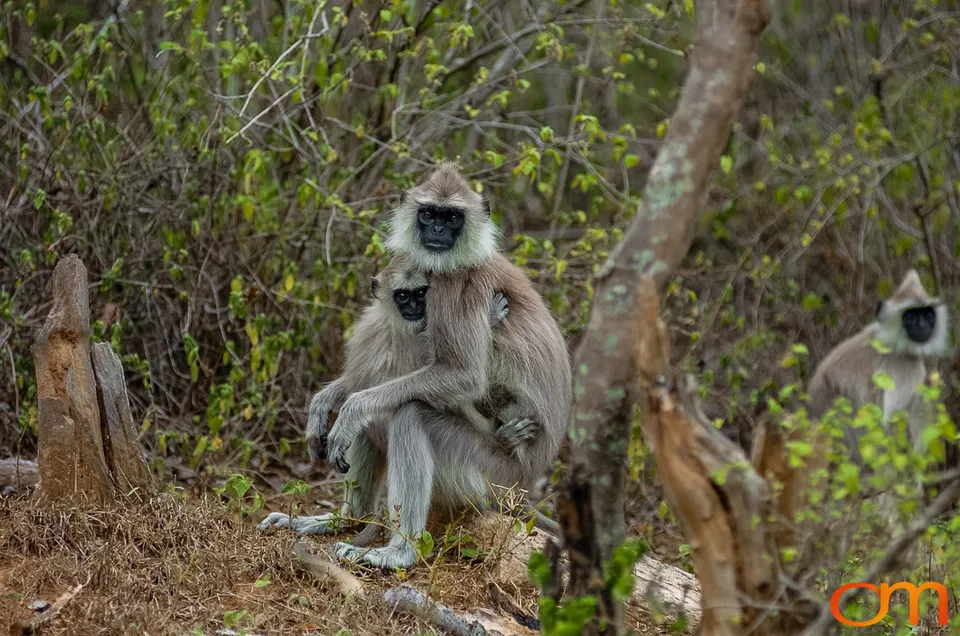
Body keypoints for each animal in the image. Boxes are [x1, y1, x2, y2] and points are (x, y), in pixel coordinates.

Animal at [258, 256, 536, 543]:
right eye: (403, 295)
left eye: (421, 293)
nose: (416, 307)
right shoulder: (415, 343)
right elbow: (455, 384)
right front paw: (491, 318)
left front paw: (325, 402)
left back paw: (344, 519)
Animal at [320, 162, 572, 569]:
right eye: (429, 214)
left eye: (452, 217)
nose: (437, 231)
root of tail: (525, 485)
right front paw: (332, 395)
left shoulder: (454, 286)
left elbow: (464, 376)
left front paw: (352, 406)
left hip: (489, 474)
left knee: (409, 414)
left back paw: (399, 552)